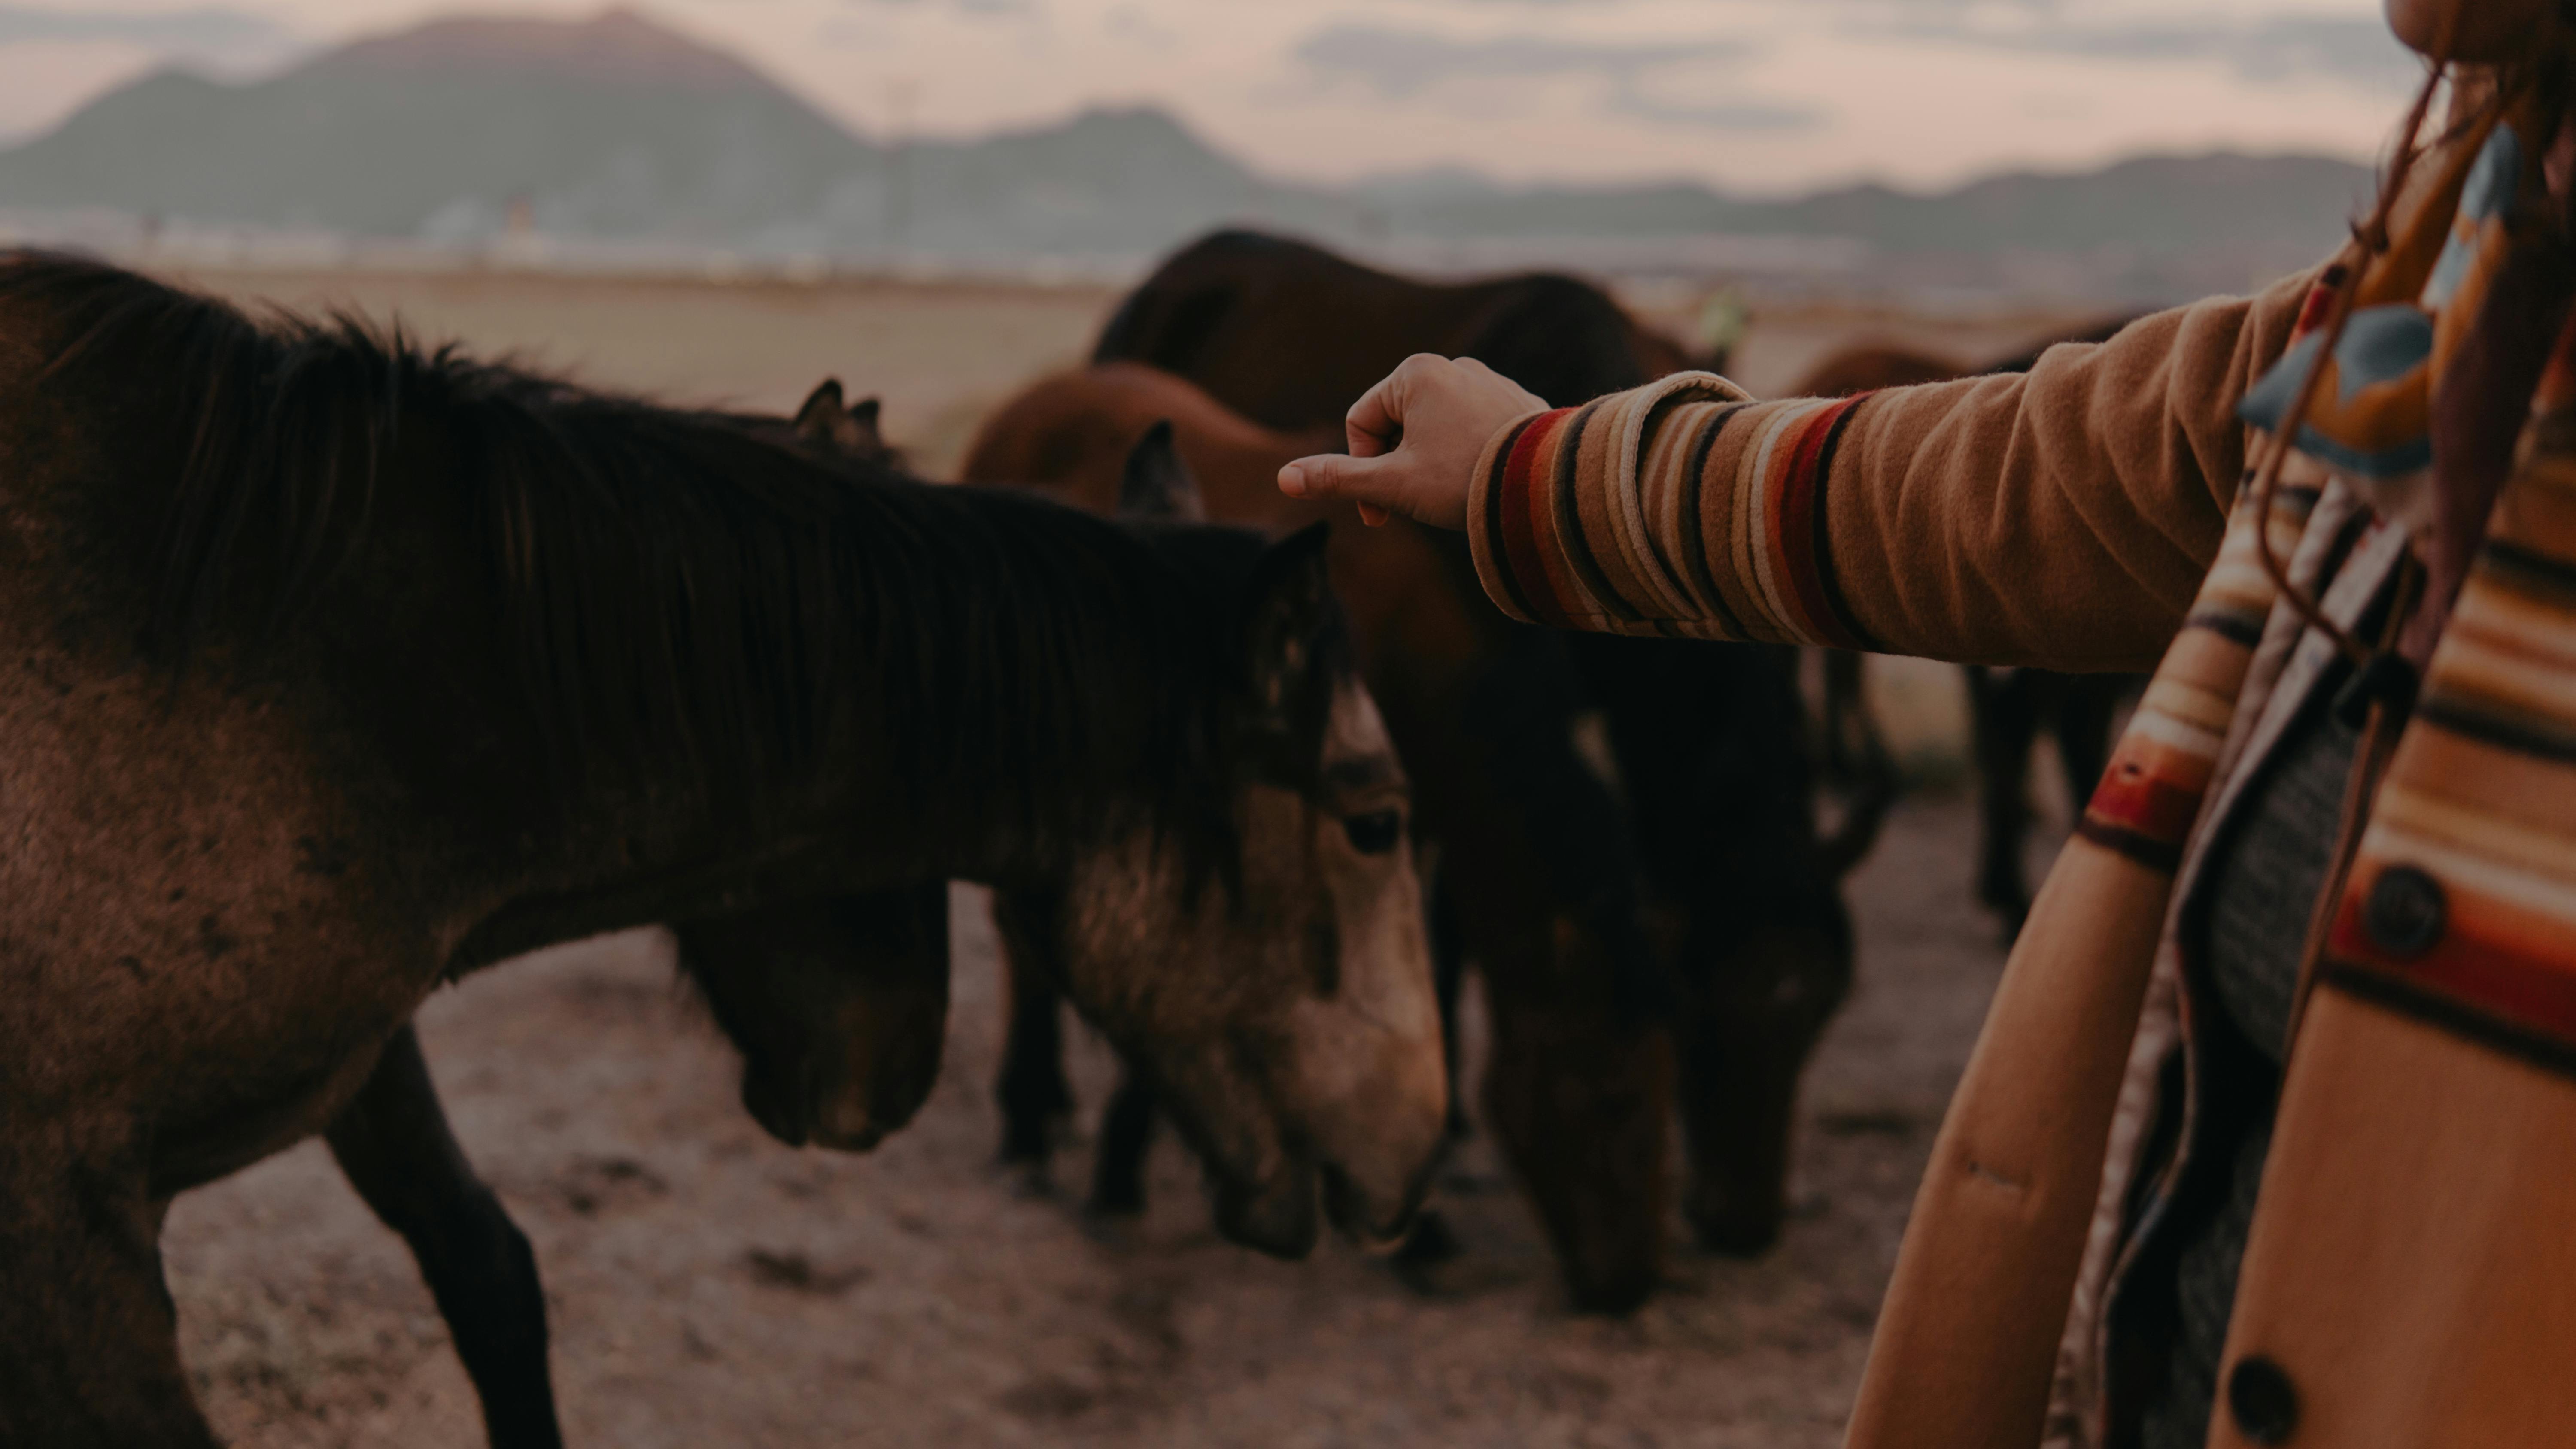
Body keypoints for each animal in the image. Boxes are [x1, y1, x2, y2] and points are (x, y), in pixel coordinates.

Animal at [0, 252, 1446, 1446]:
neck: (290, 662)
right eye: (1376, 824)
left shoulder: (360, 1061)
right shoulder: (64, 1238)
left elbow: (490, 1274)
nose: (1421, 1147)